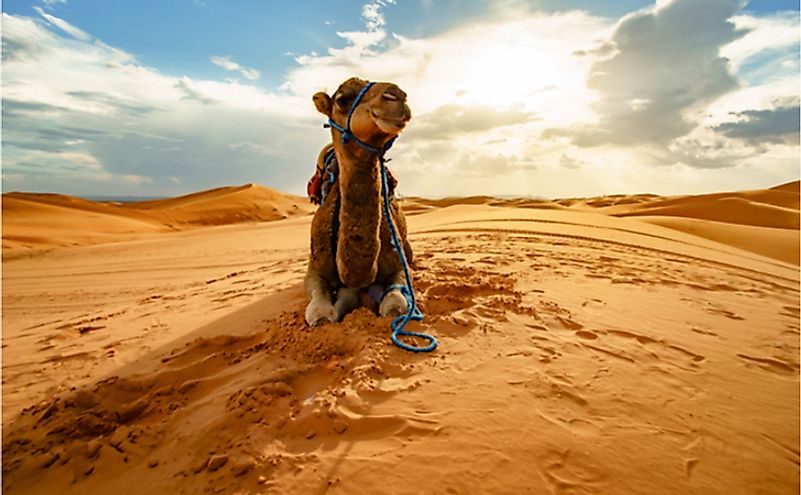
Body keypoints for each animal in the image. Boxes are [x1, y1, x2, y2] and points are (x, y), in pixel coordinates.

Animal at [304, 76, 416, 326]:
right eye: (341, 99)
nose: (397, 95)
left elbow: (394, 305)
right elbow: (320, 313)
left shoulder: (398, 266)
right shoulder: (314, 269)